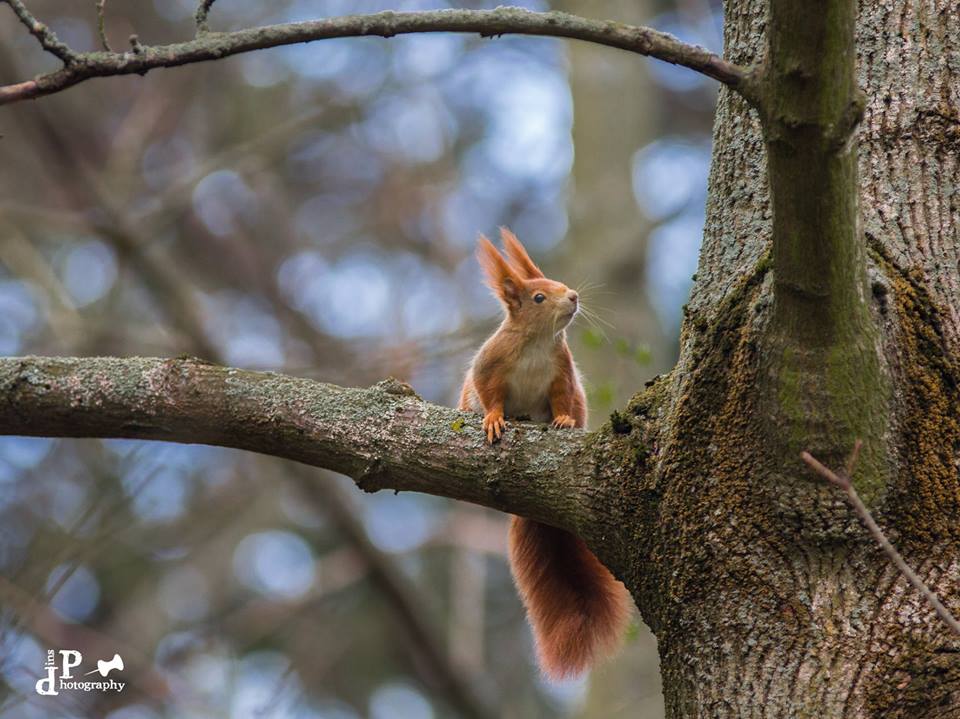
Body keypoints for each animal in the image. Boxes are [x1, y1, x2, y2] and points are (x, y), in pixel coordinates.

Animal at [458, 229, 632, 680]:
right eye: (538, 297)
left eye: (558, 283)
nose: (573, 296)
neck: (537, 343)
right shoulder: (489, 368)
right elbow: (490, 395)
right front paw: (494, 419)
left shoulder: (562, 376)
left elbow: (562, 402)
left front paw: (565, 422)